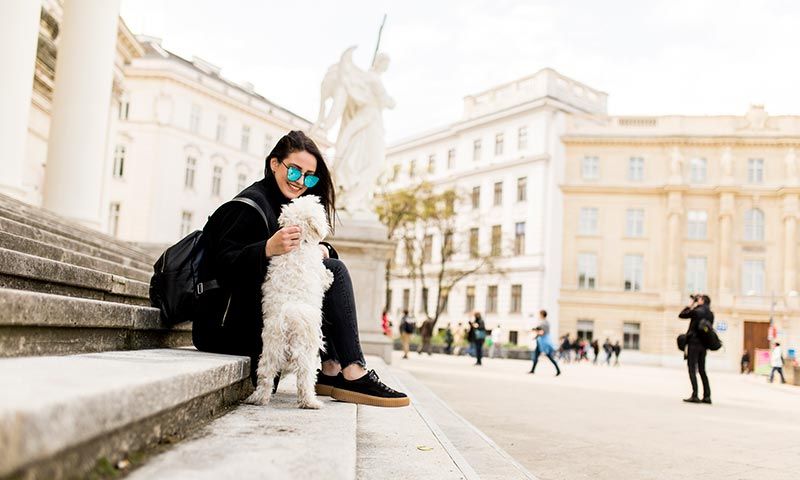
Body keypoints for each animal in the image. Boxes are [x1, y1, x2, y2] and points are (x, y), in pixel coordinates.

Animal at [244, 195, 332, 408]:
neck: (299, 244)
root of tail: (289, 318)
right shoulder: (317, 268)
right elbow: (324, 276)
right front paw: (330, 276)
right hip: (307, 352)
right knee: (305, 378)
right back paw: (310, 402)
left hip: (270, 350)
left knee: (265, 375)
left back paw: (258, 399)